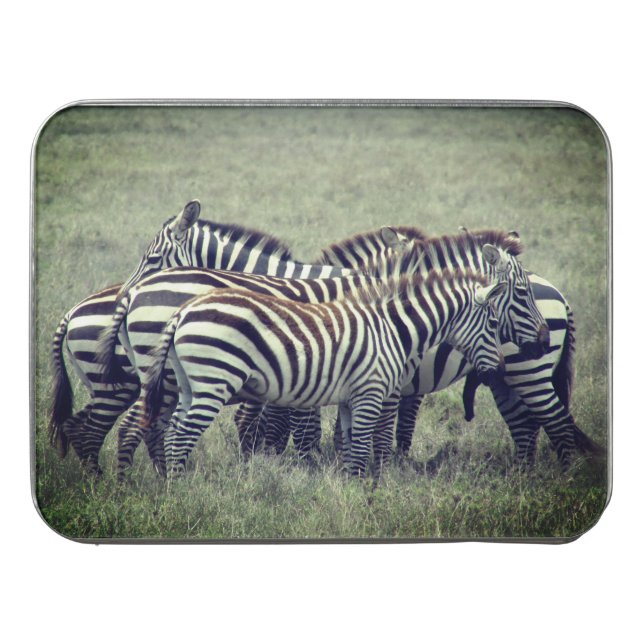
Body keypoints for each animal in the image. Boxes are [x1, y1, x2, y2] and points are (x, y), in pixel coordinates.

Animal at [48, 199, 364, 473]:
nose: (119, 300)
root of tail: (72, 312)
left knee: (81, 426)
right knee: (108, 429)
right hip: (122, 387)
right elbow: (286, 426)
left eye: (153, 258)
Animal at [99, 231, 540, 478]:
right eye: (520, 293)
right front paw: (366, 481)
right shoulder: (366, 382)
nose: (538, 339)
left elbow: (340, 437)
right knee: (145, 428)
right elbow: (361, 438)